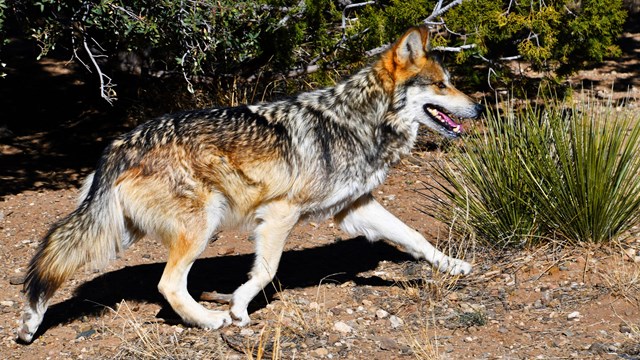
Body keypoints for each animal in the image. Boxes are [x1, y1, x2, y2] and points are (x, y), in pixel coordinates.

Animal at [17, 26, 482, 342]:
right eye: (442, 85)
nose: (478, 107)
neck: (360, 122)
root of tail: (119, 143)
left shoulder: (355, 208)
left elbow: (415, 237)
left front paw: (455, 266)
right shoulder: (279, 214)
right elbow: (266, 271)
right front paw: (239, 307)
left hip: (117, 233)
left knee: (56, 260)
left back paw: (30, 322)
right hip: (200, 226)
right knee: (167, 284)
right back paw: (209, 320)